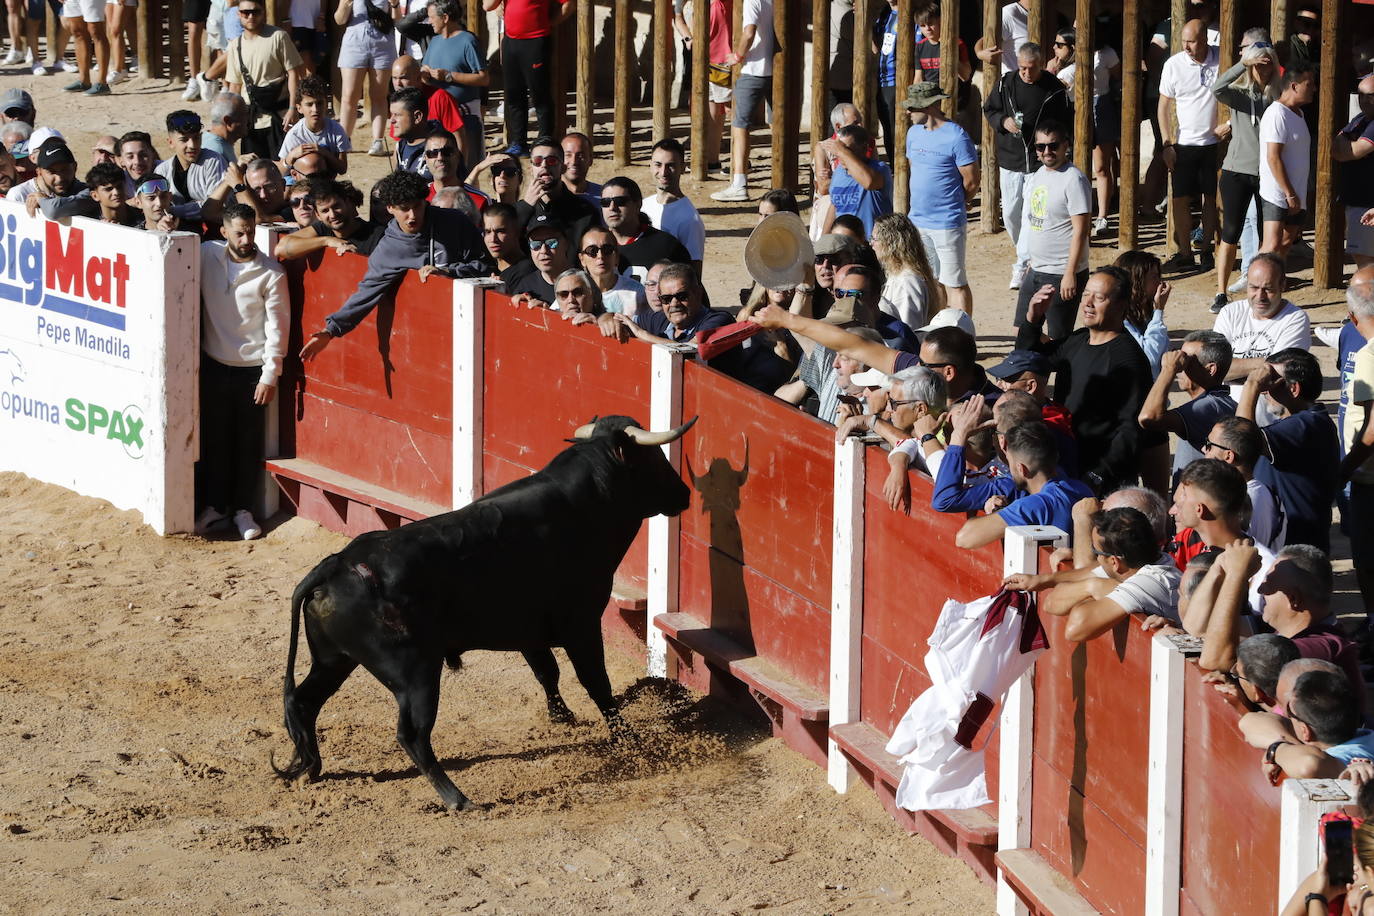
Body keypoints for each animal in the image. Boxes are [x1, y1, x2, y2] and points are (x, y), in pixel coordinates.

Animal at [273, 414, 697, 807]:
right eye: (654, 458)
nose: (684, 494)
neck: (585, 505)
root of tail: (337, 564)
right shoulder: (582, 625)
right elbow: (597, 684)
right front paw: (629, 738)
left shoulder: (528, 630)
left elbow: (547, 672)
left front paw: (563, 718)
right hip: (415, 673)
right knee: (412, 733)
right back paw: (457, 798)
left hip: (334, 659)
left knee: (303, 701)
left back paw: (312, 768)